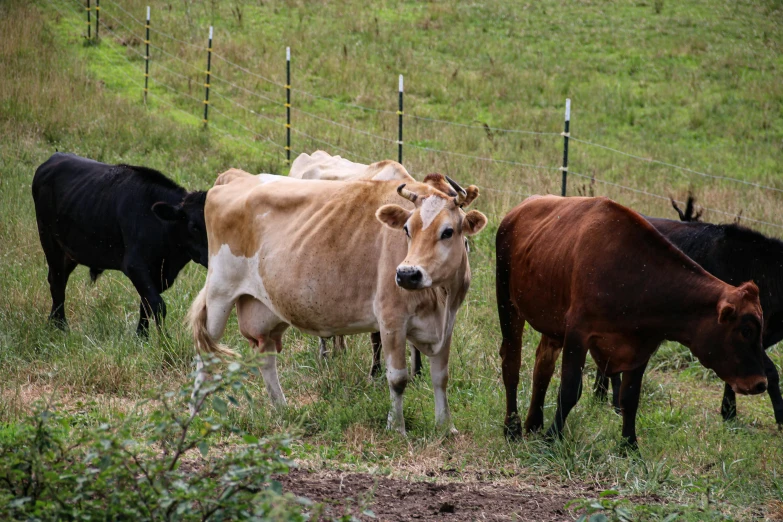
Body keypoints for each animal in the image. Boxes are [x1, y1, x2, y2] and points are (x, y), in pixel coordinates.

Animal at [33, 150, 208, 334]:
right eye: (194, 226)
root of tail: (56, 156)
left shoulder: (160, 274)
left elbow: (145, 304)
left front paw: (142, 336)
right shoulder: (134, 265)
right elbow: (157, 304)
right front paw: (165, 338)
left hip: (70, 251)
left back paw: (54, 322)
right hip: (50, 242)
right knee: (57, 282)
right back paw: (61, 326)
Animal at [188, 166, 486, 430]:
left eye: (448, 231)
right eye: (406, 229)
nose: (407, 274)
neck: (439, 298)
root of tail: (236, 178)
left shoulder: (448, 322)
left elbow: (441, 376)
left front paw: (446, 426)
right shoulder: (391, 321)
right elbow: (398, 378)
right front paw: (397, 427)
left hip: (267, 307)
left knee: (266, 357)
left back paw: (282, 408)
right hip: (219, 294)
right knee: (205, 352)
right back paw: (194, 411)